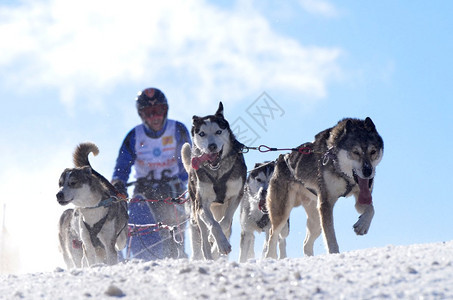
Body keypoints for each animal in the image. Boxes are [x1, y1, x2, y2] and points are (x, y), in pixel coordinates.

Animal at [180, 102, 245, 258]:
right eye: (202, 133)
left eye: (218, 132)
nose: (212, 146)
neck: (218, 172)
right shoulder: (201, 203)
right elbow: (214, 225)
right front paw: (220, 243)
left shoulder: (236, 196)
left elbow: (224, 222)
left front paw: (218, 245)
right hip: (196, 210)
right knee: (203, 237)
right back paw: (208, 253)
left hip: (219, 208)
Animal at [264, 117, 384, 258]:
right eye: (355, 152)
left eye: (373, 152)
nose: (368, 171)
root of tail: (281, 159)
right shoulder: (326, 204)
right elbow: (330, 236)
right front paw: (334, 253)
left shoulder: (361, 197)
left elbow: (371, 209)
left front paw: (362, 225)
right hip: (283, 212)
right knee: (273, 234)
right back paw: (269, 257)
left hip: (316, 220)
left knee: (306, 244)